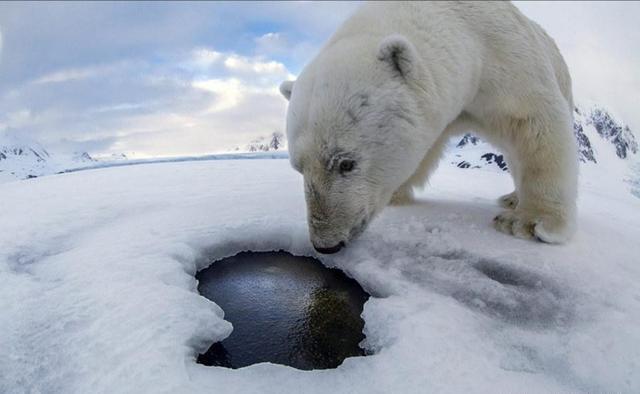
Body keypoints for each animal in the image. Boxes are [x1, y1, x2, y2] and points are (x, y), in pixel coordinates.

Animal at [278, 1, 576, 254]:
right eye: (298, 167)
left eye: (346, 163)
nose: (326, 244)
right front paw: (397, 193)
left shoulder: (506, 60)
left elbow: (534, 126)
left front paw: (529, 222)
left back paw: (513, 199)